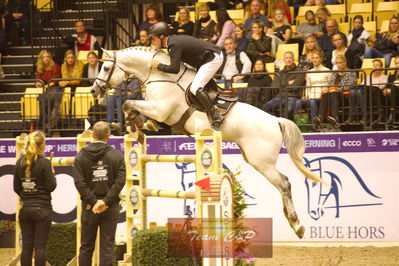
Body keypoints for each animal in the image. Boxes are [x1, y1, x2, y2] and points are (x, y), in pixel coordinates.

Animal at [92, 46, 326, 239]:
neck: (160, 76)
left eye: (105, 67)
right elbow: (136, 110)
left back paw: (297, 225)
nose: (94, 91)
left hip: (262, 161)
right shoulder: (159, 112)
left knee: (284, 183)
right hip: (253, 158)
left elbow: (128, 104)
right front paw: (141, 126)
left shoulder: (161, 109)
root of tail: (276, 121)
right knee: (282, 184)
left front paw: (133, 124)